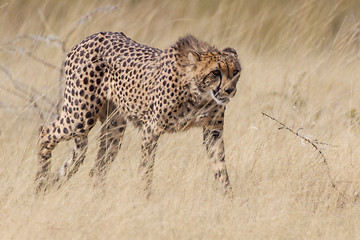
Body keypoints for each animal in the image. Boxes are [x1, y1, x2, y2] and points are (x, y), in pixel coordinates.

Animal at [35, 31, 242, 197]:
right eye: (215, 72)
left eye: (236, 71)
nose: (230, 90)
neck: (199, 93)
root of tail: (91, 37)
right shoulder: (151, 128)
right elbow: (146, 167)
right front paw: (145, 198)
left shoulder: (213, 131)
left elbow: (221, 168)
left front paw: (228, 199)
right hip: (80, 116)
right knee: (45, 133)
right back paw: (39, 184)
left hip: (114, 127)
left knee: (97, 167)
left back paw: (97, 198)